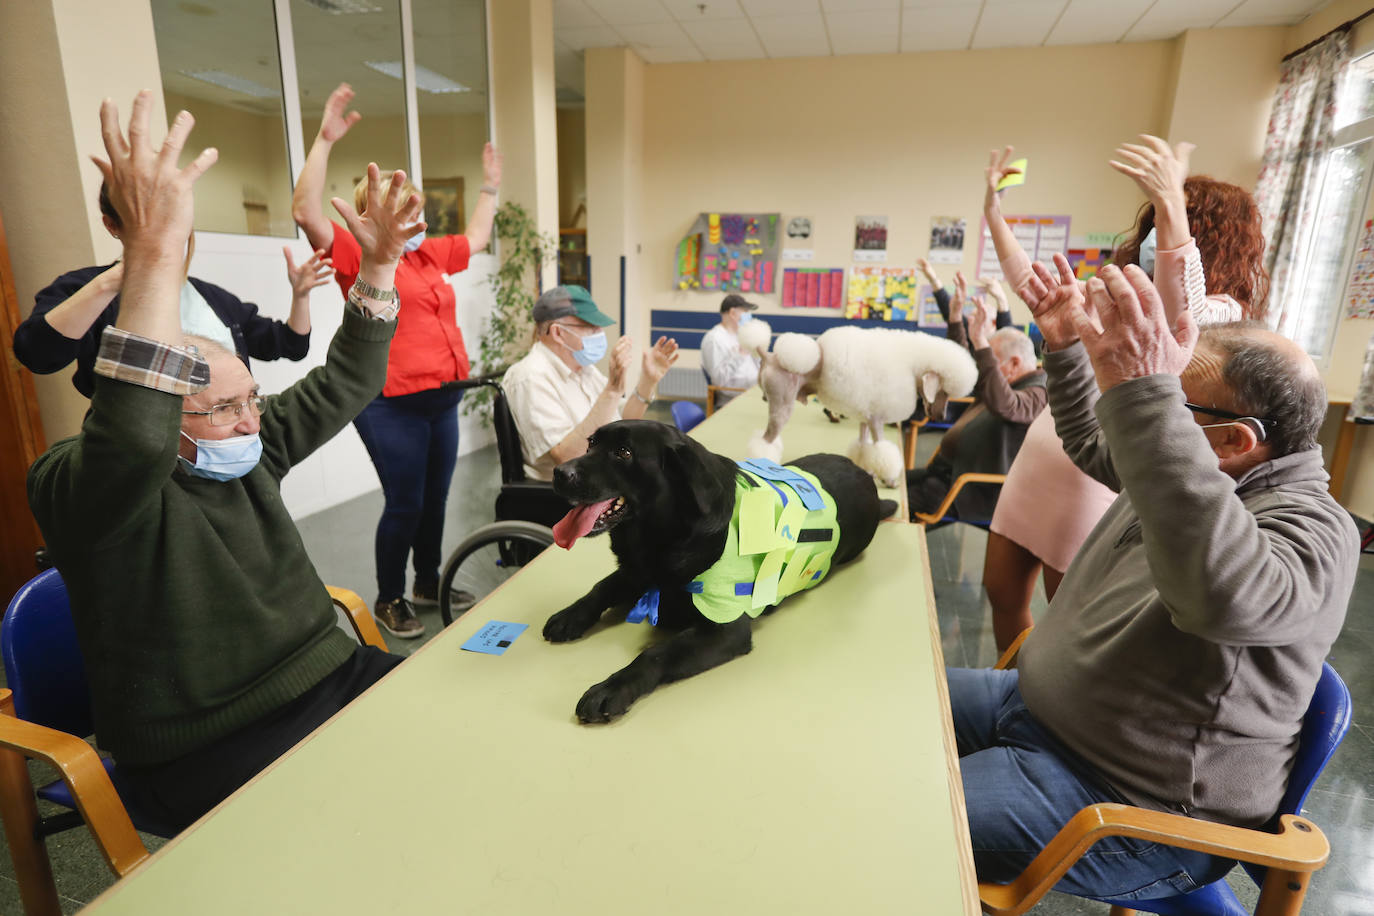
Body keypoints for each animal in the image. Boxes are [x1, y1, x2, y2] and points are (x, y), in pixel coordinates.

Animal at [541, 420, 895, 725]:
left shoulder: (725, 629)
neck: (664, 537)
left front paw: (611, 688)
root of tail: (865, 476)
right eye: (590, 444)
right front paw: (570, 615)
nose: (559, 473)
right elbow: (600, 587)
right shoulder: (638, 571)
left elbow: (656, 653)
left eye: (624, 453)